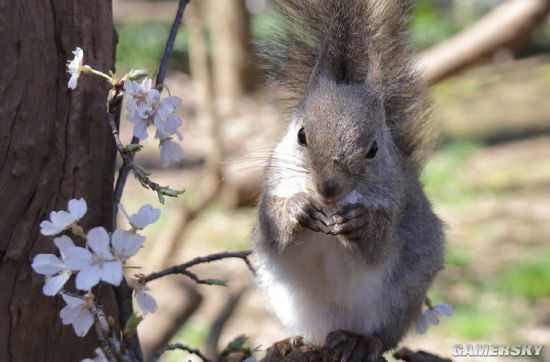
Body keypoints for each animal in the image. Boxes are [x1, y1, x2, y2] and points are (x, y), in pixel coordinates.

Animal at [252, 0, 446, 360]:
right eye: (301, 135)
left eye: (374, 150)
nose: (328, 188)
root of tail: (334, 329)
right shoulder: (269, 195)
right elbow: (271, 230)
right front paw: (298, 208)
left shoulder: (395, 206)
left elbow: (377, 247)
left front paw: (359, 221)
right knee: (311, 334)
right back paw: (292, 343)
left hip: (400, 298)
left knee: (384, 336)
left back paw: (360, 342)